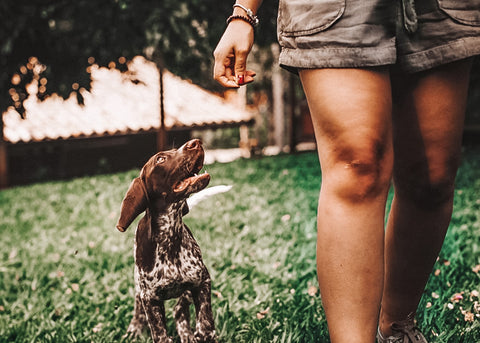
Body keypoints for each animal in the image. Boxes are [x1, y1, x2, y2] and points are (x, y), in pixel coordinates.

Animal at [116, 140, 216, 343]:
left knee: (179, 311)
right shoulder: (150, 298)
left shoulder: (202, 281)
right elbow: (160, 333)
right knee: (138, 305)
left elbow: (205, 323)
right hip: (138, 284)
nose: (195, 142)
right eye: (160, 159)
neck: (170, 237)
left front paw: (201, 334)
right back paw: (135, 327)